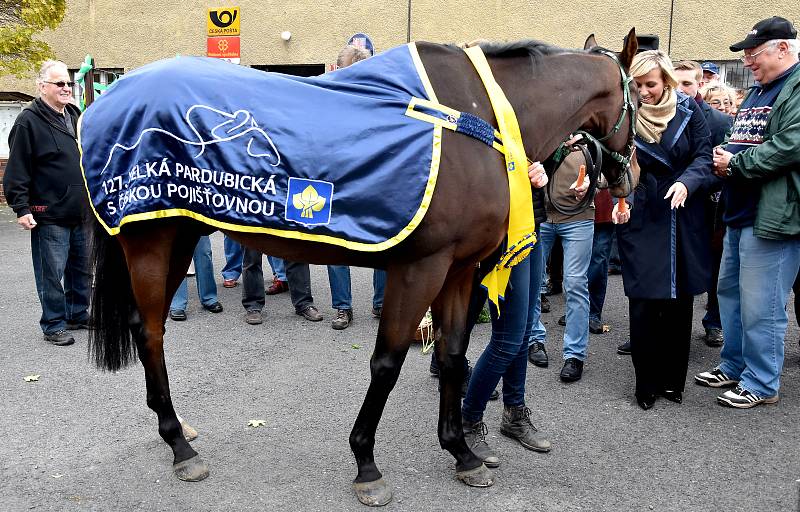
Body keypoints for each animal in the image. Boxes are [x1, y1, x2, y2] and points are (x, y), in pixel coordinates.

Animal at [86, 31, 636, 504]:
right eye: (645, 95)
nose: (629, 177)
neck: (479, 119)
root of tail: (105, 101)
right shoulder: (420, 269)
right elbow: (386, 363)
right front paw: (366, 464)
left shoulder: (457, 272)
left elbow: (453, 358)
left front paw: (462, 452)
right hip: (151, 243)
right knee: (151, 332)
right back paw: (179, 445)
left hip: (177, 236)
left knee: (146, 326)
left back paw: (176, 427)